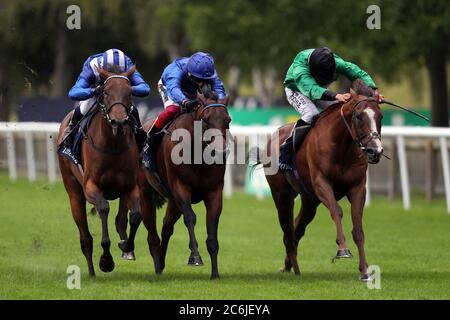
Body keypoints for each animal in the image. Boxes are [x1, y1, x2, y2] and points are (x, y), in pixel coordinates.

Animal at [57, 67, 158, 278]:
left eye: (129, 93)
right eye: (106, 92)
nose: (119, 122)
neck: (112, 145)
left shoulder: (130, 187)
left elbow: (136, 216)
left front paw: (126, 246)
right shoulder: (90, 186)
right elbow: (103, 208)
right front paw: (105, 260)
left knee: (120, 219)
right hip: (74, 191)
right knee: (85, 237)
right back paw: (91, 271)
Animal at [142, 88, 232, 280]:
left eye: (227, 120)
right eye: (206, 119)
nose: (219, 151)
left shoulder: (214, 192)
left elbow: (212, 227)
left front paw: (215, 273)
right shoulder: (180, 187)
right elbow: (190, 217)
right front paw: (195, 257)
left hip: (173, 202)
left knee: (166, 227)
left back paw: (161, 263)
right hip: (147, 192)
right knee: (152, 230)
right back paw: (157, 267)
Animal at [253, 79, 384, 280]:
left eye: (380, 117)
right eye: (358, 116)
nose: (375, 151)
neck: (342, 148)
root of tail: (274, 136)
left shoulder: (358, 188)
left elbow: (358, 229)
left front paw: (364, 270)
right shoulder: (321, 183)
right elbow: (336, 211)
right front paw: (343, 249)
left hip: (309, 200)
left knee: (297, 229)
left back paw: (289, 265)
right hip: (282, 194)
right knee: (288, 230)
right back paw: (295, 268)